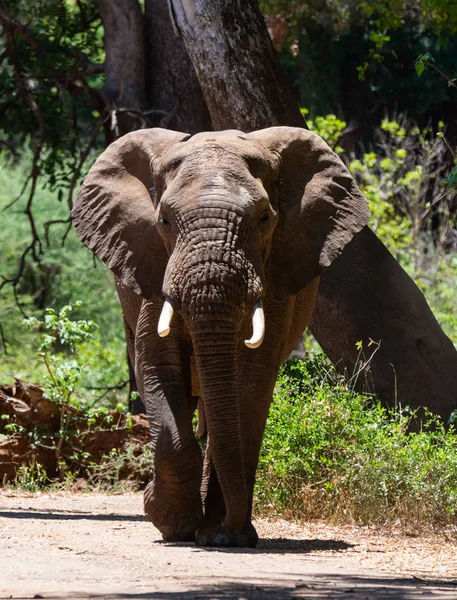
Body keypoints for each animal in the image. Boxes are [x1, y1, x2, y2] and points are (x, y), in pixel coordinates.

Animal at [72, 126, 370, 548]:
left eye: (264, 219)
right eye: (164, 220)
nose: (230, 527)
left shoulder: (274, 281)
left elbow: (250, 384)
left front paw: (224, 537)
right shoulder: (154, 268)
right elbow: (157, 367)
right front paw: (169, 522)